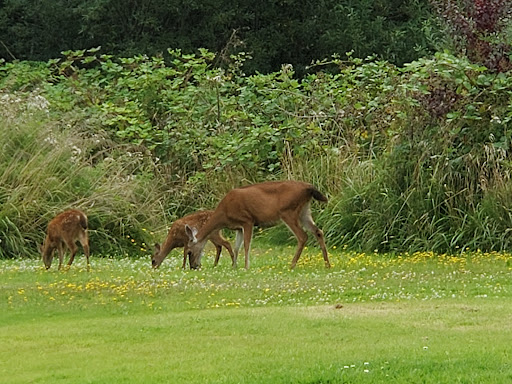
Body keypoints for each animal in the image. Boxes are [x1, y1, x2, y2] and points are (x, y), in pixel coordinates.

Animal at [185, 182, 332, 268]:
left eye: (189, 251)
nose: (193, 267)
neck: (224, 214)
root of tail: (309, 188)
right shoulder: (238, 227)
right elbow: (237, 247)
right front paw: (234, 266)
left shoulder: (247, 220)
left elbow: (246, 245)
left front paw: (246, 266)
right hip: (304, 210)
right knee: (318, 231)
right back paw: (327, 264)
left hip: (288, 211)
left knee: (302, 236)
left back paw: (292, 264)